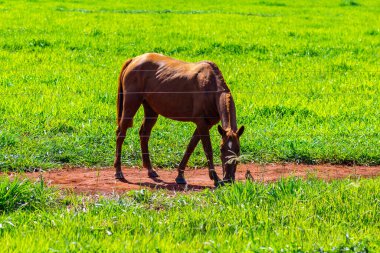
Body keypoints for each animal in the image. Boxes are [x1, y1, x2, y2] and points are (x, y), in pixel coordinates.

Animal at [113, 52, 243, 186]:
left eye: (238, 149)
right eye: (221, 149)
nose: (228, 179)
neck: (211, 87)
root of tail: (134, 60)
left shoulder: (206, 124)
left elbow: (190, 147)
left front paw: (180, 175)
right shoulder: (201, 123)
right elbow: (208, 149)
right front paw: (215, 178)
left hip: (151, 109)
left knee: (144, 134)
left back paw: (150, 170)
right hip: (131, 104)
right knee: (121, 133)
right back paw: (119, 172)